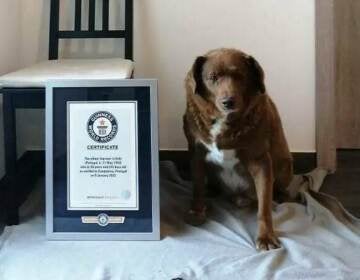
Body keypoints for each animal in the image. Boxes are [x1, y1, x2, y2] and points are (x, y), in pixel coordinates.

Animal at [183, 48, 292, 252]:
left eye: (240, 76)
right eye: (212, 77)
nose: (228, 101)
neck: (225, 122)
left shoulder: (260, 160)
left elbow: (264, 206)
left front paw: (266, 236)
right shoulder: (196, 154)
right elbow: (197, 188)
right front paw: (197, 211)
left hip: (284, 164)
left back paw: (281, 196)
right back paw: (212, 190)